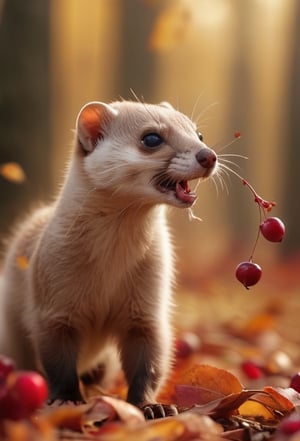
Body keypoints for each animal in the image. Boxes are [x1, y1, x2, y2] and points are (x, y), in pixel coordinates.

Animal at [0, 99, 216, 410]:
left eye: (199, 133)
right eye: (151, 138)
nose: (208, 155)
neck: (110, 268)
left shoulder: (148, 311)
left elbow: (149, 364)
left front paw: (152, 406)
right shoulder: (51, 308)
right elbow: (57, 363)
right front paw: (67, 400)